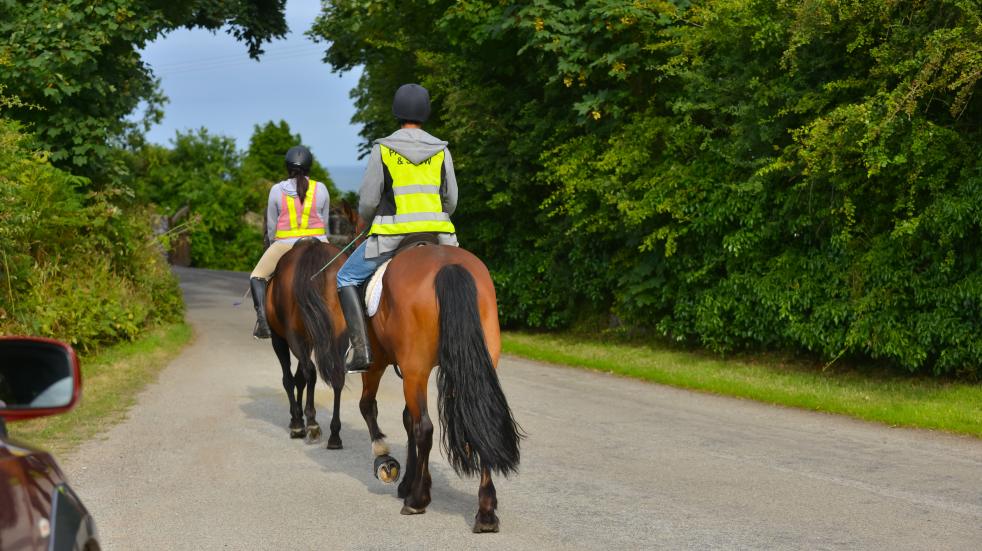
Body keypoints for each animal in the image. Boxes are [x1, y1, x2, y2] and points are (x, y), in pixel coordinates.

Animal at [268, 239, 348, 450]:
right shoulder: (311, 340)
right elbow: (299, 379)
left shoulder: (279, 339)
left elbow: (290, 379)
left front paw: (297, 422)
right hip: (339, 335)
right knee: (337, 375)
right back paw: (334, 435)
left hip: (293, 337)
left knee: (310, 372)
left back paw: (311, 424)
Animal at [338, 207, 524, 536]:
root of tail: (447, 267)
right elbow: (406, 419)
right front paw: (407, 480)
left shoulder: (382, 361)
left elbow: (371, 407)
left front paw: (386, 462)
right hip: (471, 365)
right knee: (479, 422)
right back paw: (486, 513)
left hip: (412, 369)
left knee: (423, 427)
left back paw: (417, 500)